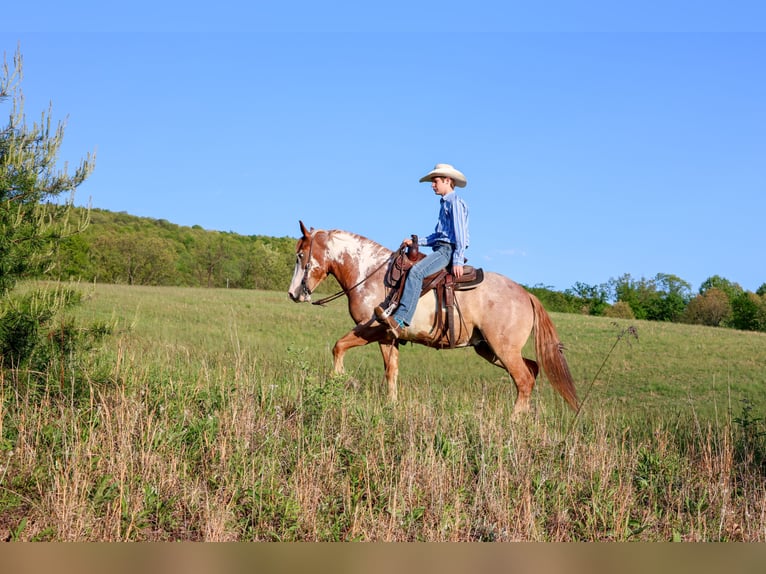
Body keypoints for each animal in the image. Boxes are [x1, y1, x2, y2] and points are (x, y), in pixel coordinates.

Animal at [287, 221, 579, 416]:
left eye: (301, 255)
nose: (293, 293)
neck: (370, 274)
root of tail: (526, 294)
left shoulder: (371, 329)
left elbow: (339, 347)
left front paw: (340, 382)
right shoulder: (388, 337)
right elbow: (391, 371)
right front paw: (391, 405)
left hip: (503, 349)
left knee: (524, 380)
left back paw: (514, 422)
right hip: (490, 349)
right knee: (532, 370)